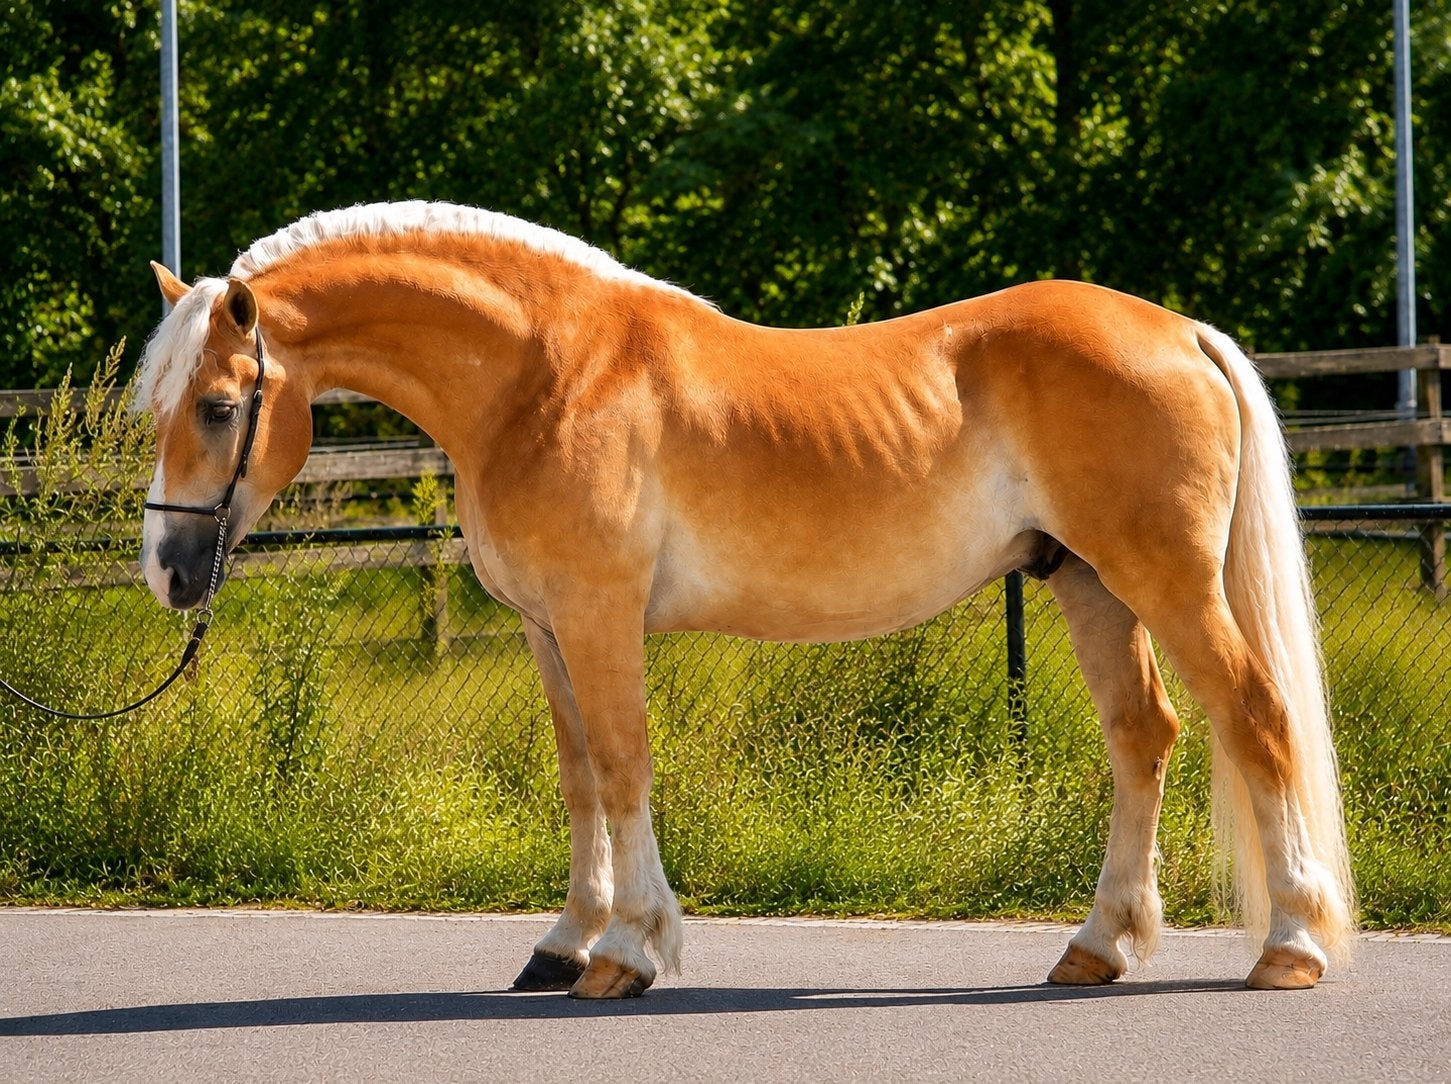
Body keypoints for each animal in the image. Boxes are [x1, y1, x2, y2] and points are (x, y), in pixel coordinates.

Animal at [136, 200, 1355, 999]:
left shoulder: (598, 615)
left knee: (1253, 718)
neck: (544, 375)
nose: (165, 572)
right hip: (1090, 583)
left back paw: (1289, 947)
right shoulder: (546, 629)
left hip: (1165, 580)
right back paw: (1095, 947)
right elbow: (578, 778)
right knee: (1142, 737)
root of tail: (1174, 328)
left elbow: (623, 766)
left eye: (216, 406)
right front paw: (562, 942)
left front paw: (628, 953)